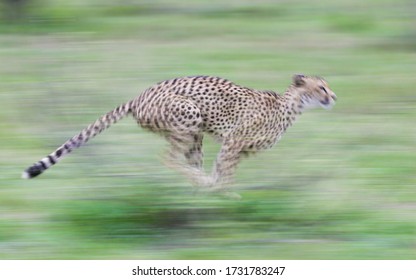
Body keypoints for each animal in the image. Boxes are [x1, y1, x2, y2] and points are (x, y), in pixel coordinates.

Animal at [22, 73, 334, 194]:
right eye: (321, 87)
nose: (334, 97)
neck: (290, 105)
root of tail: (140, 95)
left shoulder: (237, 149)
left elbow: (222, 168)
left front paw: (217, 190)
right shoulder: (234, 142)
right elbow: (226, 173)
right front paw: (226, 193)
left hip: (194, 133)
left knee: (188, 160)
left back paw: (198, 185)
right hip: (189, 114)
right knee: (168, 158)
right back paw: (201, 182)